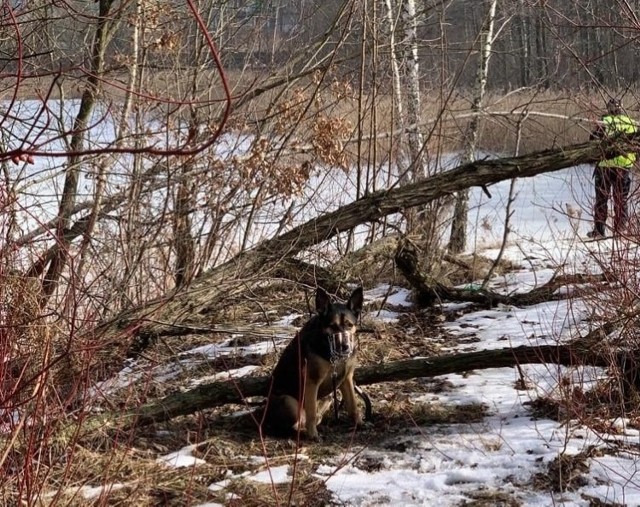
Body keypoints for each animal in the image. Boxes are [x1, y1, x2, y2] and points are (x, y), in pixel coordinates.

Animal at [262, 288, 364, 438]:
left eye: (349, 325)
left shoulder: (347, 378)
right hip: (289, 402)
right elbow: (311, 413)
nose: (345, 347)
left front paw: (359, 424)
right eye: (332, 326)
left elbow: (353, 406)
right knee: (294, 425)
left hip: (328, 397)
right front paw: (313, 435)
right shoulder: (312, 382)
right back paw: (306, 432)